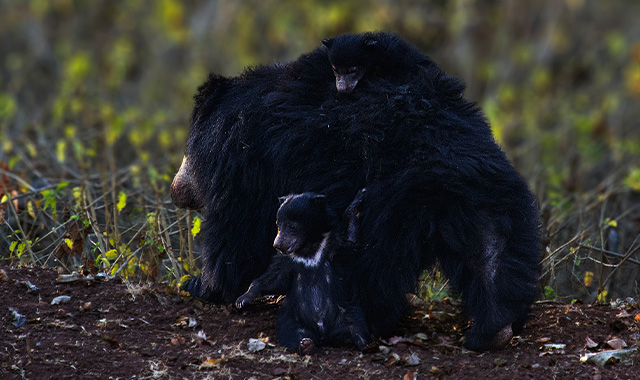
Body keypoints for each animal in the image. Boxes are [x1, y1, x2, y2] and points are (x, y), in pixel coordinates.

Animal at [235, 190, 370, 354]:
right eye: (278, 224)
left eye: (292, 226)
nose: (277, 244)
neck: (308, 246)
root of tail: (324, 335)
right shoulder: (288, 259)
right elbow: (273, 278)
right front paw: (242, 300)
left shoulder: (334, 244)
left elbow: (352, 243)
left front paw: (359, 199)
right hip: (293, 317)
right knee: (290, 330)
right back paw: (305, 343)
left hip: (343, 309)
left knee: (355, 321)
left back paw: (367, 344)